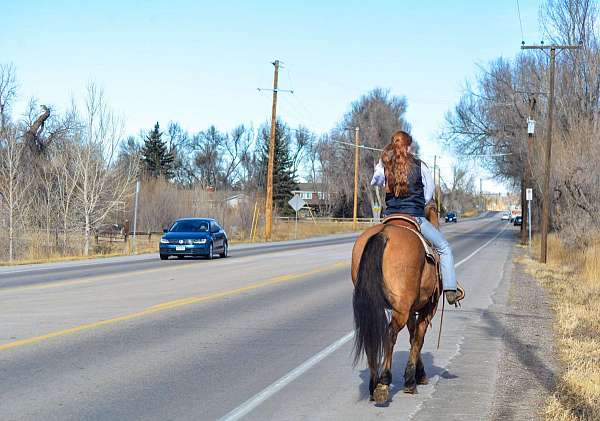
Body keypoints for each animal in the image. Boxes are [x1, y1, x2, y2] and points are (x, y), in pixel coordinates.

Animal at [352, 203, 440, 404]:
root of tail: (383, 233)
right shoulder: (427, 308)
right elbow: (418, 338)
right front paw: (412, 380)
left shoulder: (411, 309)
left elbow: (412, 335)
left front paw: (417, 373)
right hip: (401, 309)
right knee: (390, 333)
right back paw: (383, 384)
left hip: (376, 305)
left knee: (372, 332)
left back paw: (373, 385)